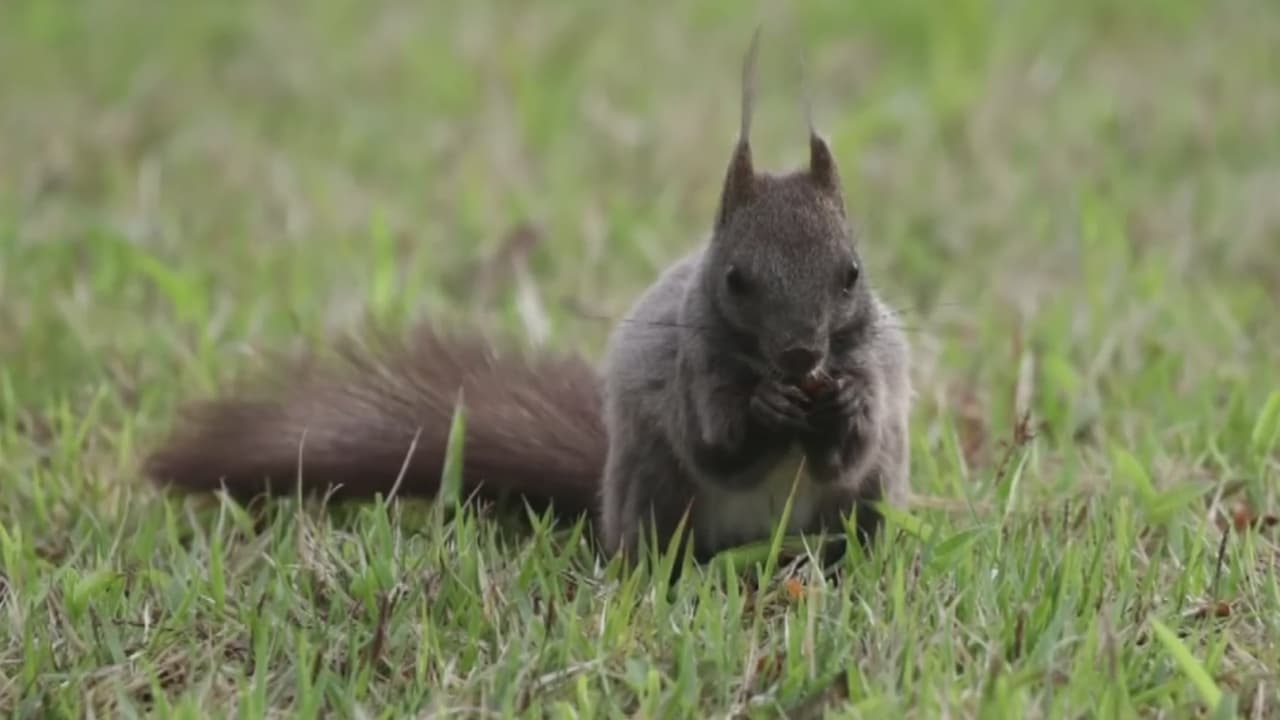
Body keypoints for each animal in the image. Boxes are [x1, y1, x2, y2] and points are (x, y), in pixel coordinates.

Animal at [142, 33, 912, 566]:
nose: (802, 354)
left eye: (851, 273)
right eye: (735, 279)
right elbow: (718, 446)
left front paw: (844, 403)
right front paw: (764, 410)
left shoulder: (871, 366)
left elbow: (848, 449)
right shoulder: (692, 371)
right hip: (657, 488)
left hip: (868, 501)